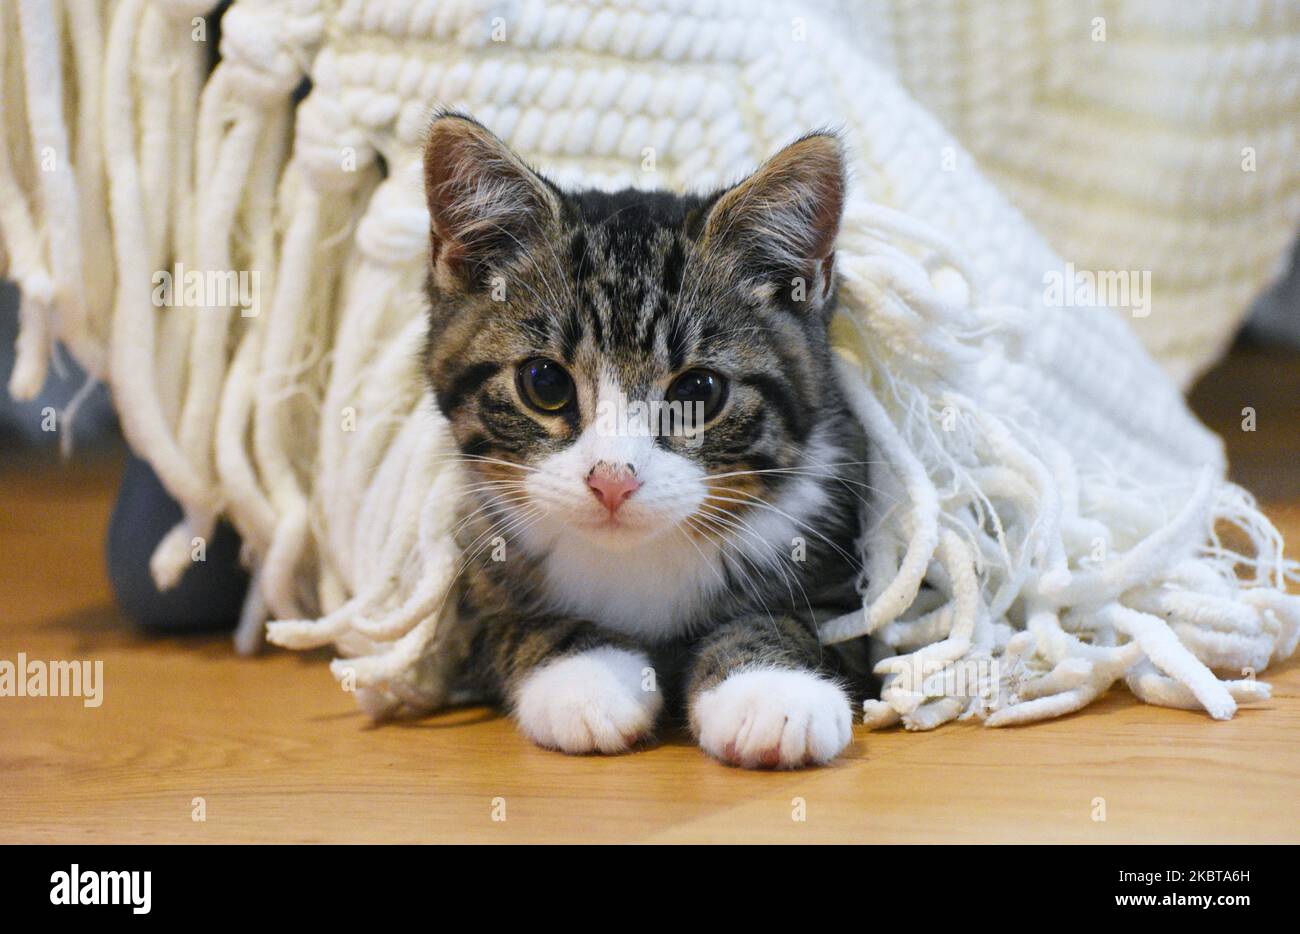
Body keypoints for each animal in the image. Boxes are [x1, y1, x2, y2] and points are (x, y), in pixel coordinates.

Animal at [426, 115, 873, 770]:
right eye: (545, 382)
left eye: (699, 390)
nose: (612, 480)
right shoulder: (474, 571)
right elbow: (514, 622)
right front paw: (586, 677)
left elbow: (798, 619)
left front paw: (768, 690)